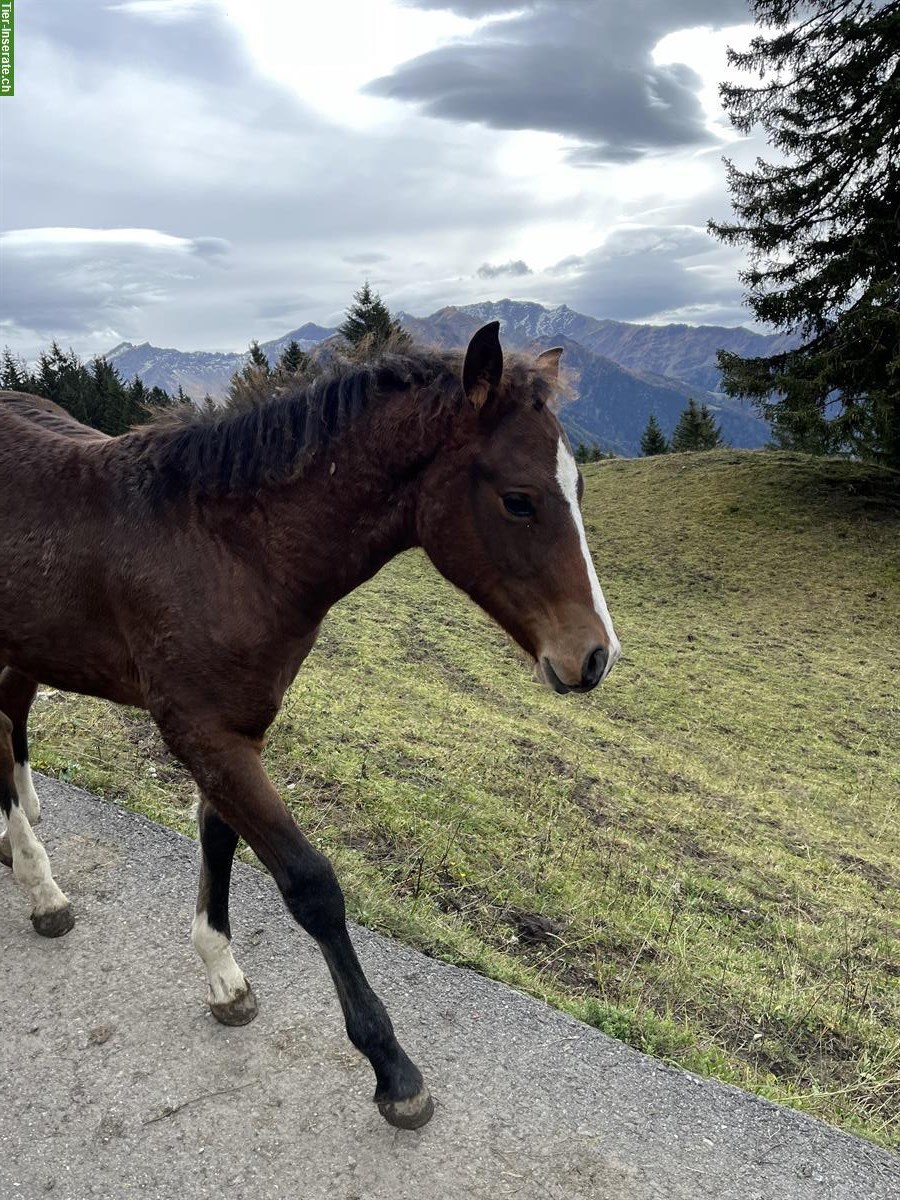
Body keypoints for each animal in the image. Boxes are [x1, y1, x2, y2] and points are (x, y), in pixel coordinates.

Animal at [0, 321, 619, 1123]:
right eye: (519, 501)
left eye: (579, 488)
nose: (595, 656)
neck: (225, 549)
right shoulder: (202, 733)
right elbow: (311, 886)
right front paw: (392, 1067)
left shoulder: (237, 730)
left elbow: (220, 843)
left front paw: (224, 976)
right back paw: (40, 887)